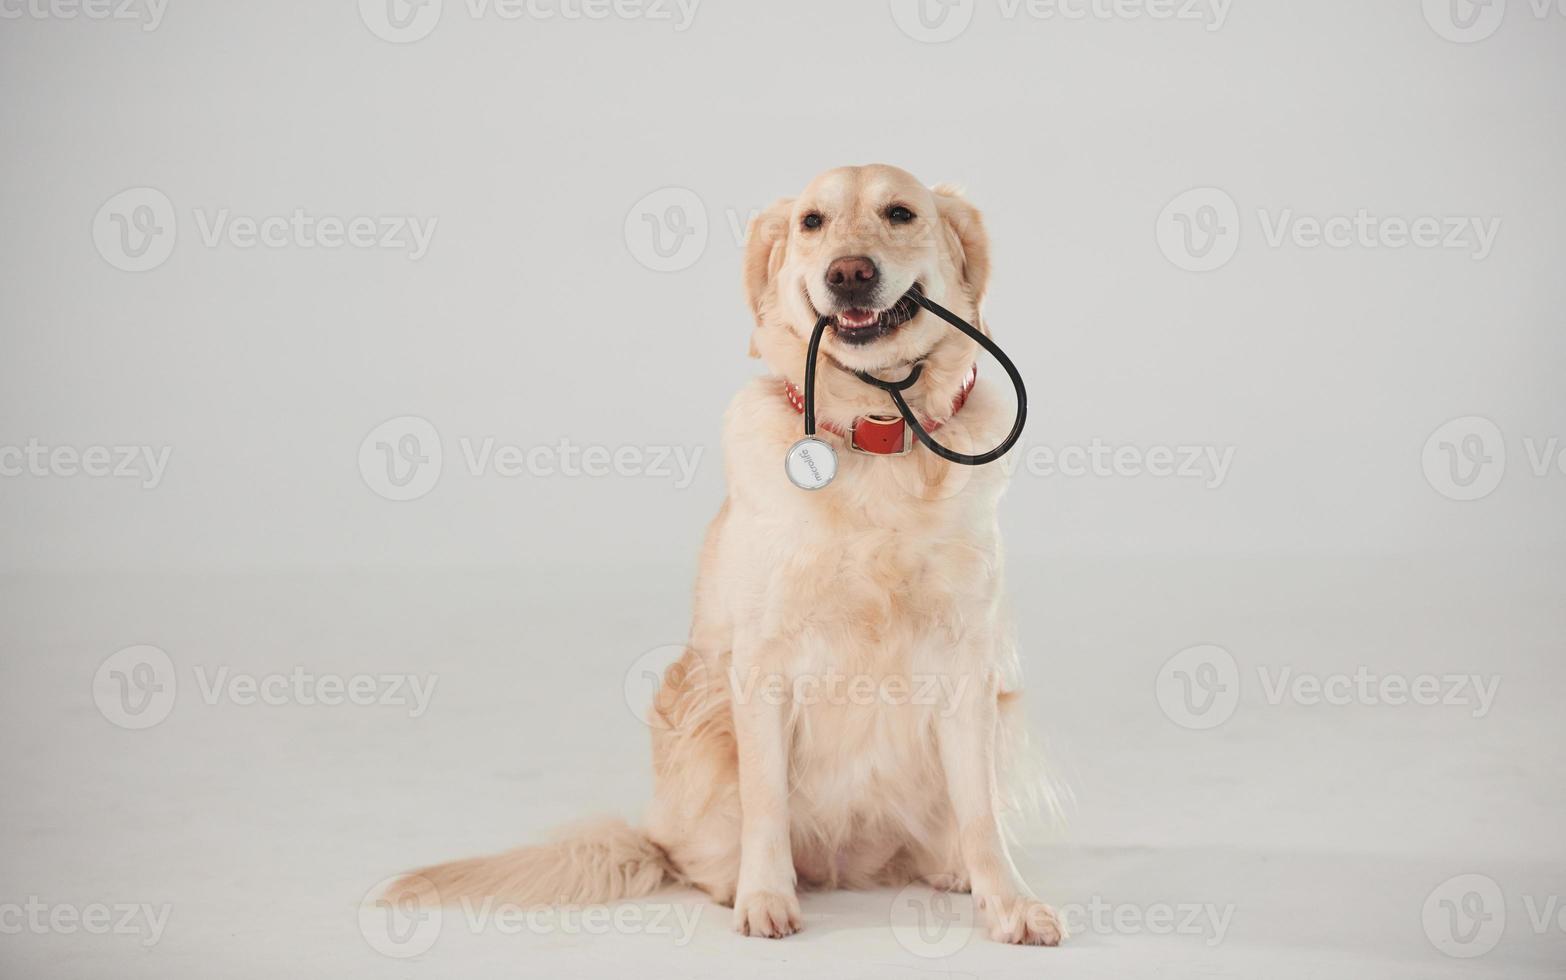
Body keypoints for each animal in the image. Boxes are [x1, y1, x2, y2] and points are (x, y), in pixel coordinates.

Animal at [394, 164, 1064, 945]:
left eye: (900, 213)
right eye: (811, 223)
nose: (849, 274)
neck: (875, 431)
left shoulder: (967, 665)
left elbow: (981, 815)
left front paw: (1008, 903)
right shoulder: (761, 665)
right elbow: (765, 801)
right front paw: (765, 897)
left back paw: (948, 868)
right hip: (702, 724)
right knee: (694, 856)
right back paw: (730, 882)